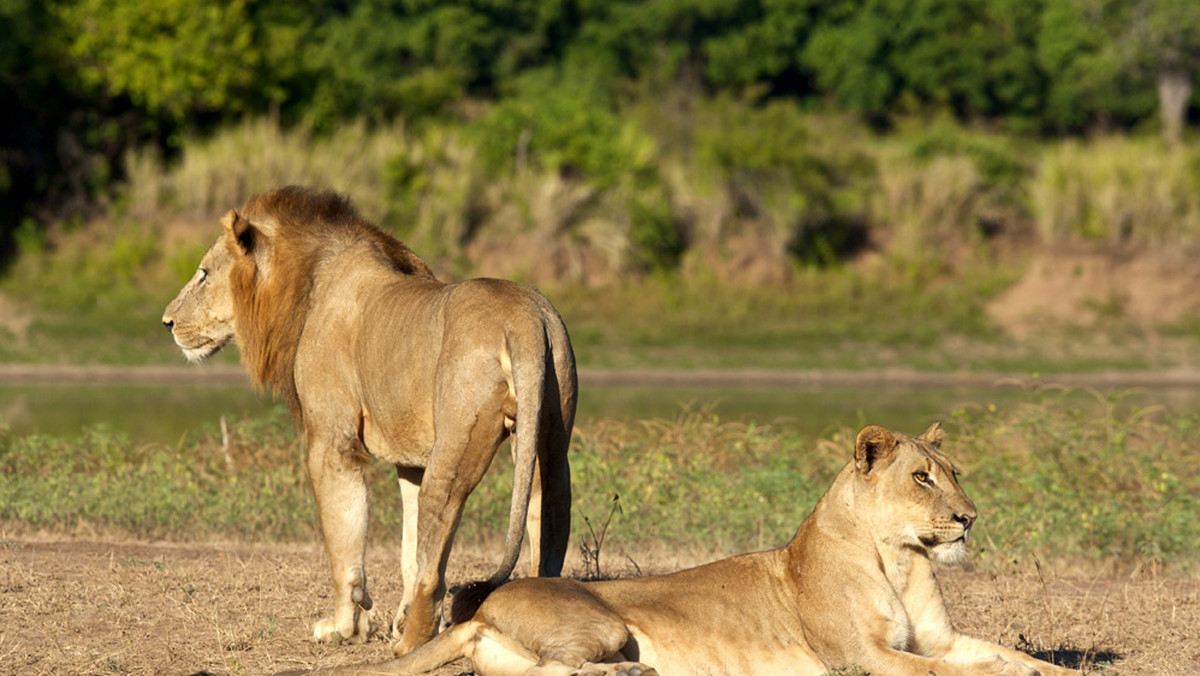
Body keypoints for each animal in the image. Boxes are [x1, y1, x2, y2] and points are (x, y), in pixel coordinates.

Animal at [160, 184, 576, 657]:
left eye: (203, 274)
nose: (167, 321)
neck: (306, 283)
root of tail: (522, 318)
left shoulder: (332, 441)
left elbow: (345, 540)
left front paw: (345, 627)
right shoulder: (411, 459)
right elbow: (408, 546)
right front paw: (394, 618)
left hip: (455, 449)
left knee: (436, 554)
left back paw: (410, 645)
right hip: (549, 440)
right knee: (550, 517)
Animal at [304, 425, 1075, 672]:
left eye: (954, 472)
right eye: (922, 477)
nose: (969, 518)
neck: (903, 557)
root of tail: (483, 611)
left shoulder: (937, 638)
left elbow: (1006, 656)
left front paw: (1051, 672)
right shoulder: (859, 657)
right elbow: (952, 672)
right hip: (603, 623)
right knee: (565, 668)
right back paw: (633, 673)